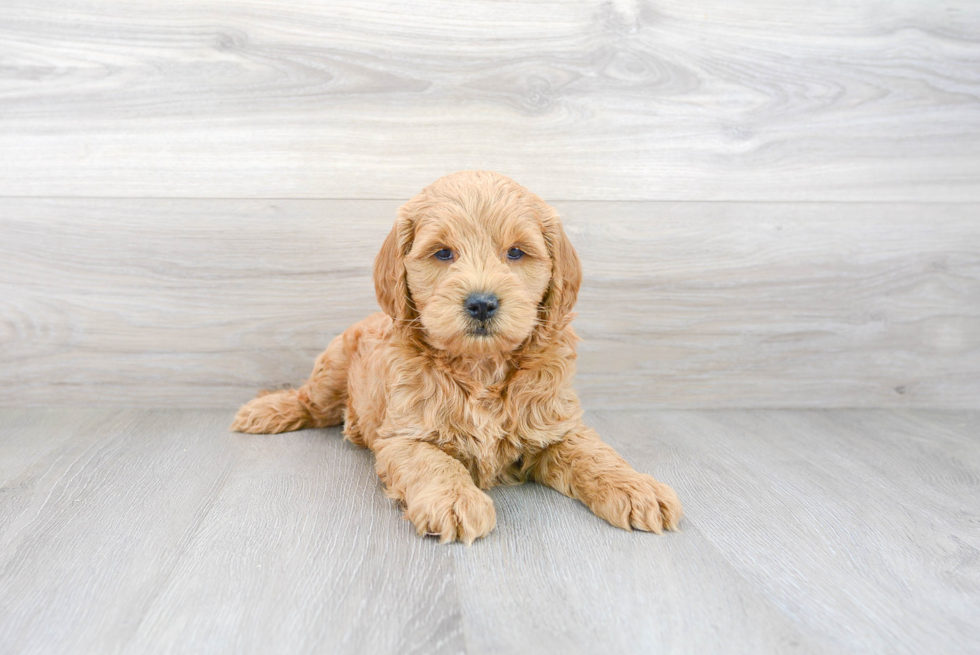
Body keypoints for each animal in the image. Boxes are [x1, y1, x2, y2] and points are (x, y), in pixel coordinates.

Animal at [234, 169, 684, 544]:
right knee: (310, 400)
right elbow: (433, 462)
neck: (481, 366)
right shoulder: (404, 434)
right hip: (334, 366)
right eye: (443, 253)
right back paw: (265, 410)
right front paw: (454, 501)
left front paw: (636, 488)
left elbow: (595, 454)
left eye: (516, 253)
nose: (482, 303)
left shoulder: (555, 425)